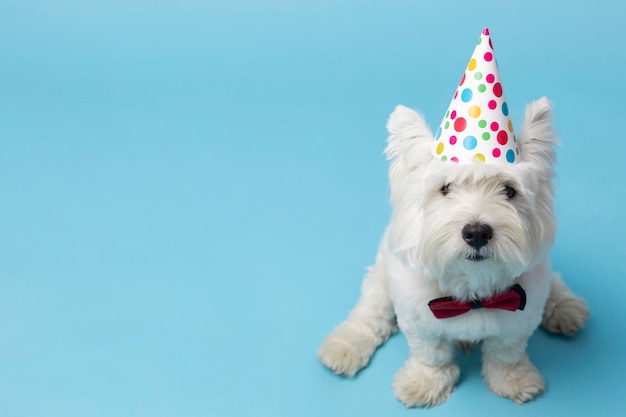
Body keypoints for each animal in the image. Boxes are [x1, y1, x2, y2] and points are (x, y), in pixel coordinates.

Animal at [320, 96, 588, 404]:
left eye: (509, 190)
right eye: (446, 188)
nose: (477, 232)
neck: (472, 289)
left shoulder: (519, 315)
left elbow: (505, 353)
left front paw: (512, 379)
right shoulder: (419, 317)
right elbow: (431, 354)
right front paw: (425, 382)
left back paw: (565, 307)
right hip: (380, 279)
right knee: (369, 313)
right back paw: (344, 346)